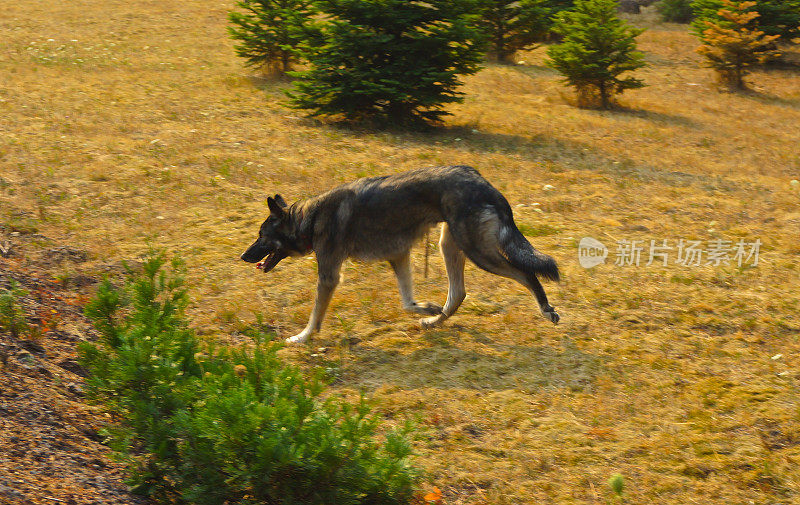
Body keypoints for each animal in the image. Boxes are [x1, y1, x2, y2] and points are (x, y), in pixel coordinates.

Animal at [241, 165, 560, 342]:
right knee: (458, 293)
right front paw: (427, 309)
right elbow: (408, 303)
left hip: (477, 252)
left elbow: (315, 317)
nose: (244, 256)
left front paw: (302, 338)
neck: (310, 217)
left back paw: (546, 309)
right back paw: (433, 321)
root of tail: (484, 183)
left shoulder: (329, 276)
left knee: (525, 273)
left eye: (261, 236)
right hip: (449, 245)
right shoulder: (399, 256)